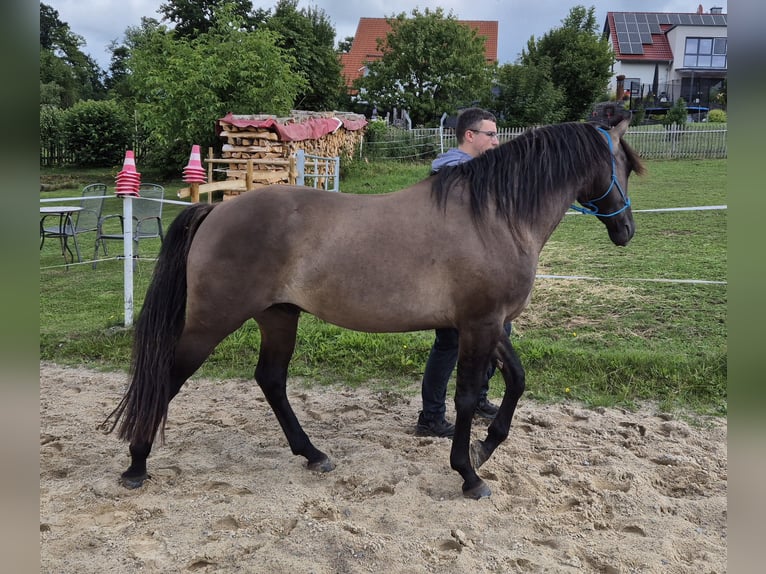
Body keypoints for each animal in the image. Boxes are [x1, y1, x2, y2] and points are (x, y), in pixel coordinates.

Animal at [103, 117, 644, 499]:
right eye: (624, 164)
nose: (627, 230)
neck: (493, 215)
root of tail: (216, 209)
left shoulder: (490, 325)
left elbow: (516, 380)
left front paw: (486, 446)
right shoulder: (479, 325)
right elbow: (467, 396)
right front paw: (468, 473)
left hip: (279, 315)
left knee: (271, 380)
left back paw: (313, 454)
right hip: (212, 321)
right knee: (169, 376)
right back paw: (135, 464)